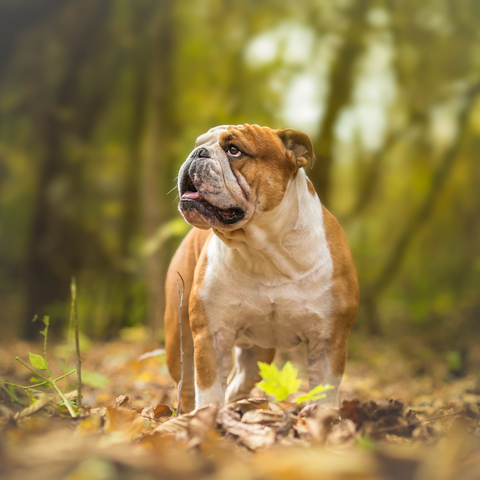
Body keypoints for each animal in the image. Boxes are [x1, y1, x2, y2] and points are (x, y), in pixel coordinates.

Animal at [164, 122, 356, 410]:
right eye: (198, 144)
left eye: (234, 150)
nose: (198, 152)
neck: (264, 252)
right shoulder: (211, 335)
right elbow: (209, 392)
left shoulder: (327, 340)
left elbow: (325, 395)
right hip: (180, 338)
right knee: (186, 384)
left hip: (257, 353)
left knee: (240, 381)